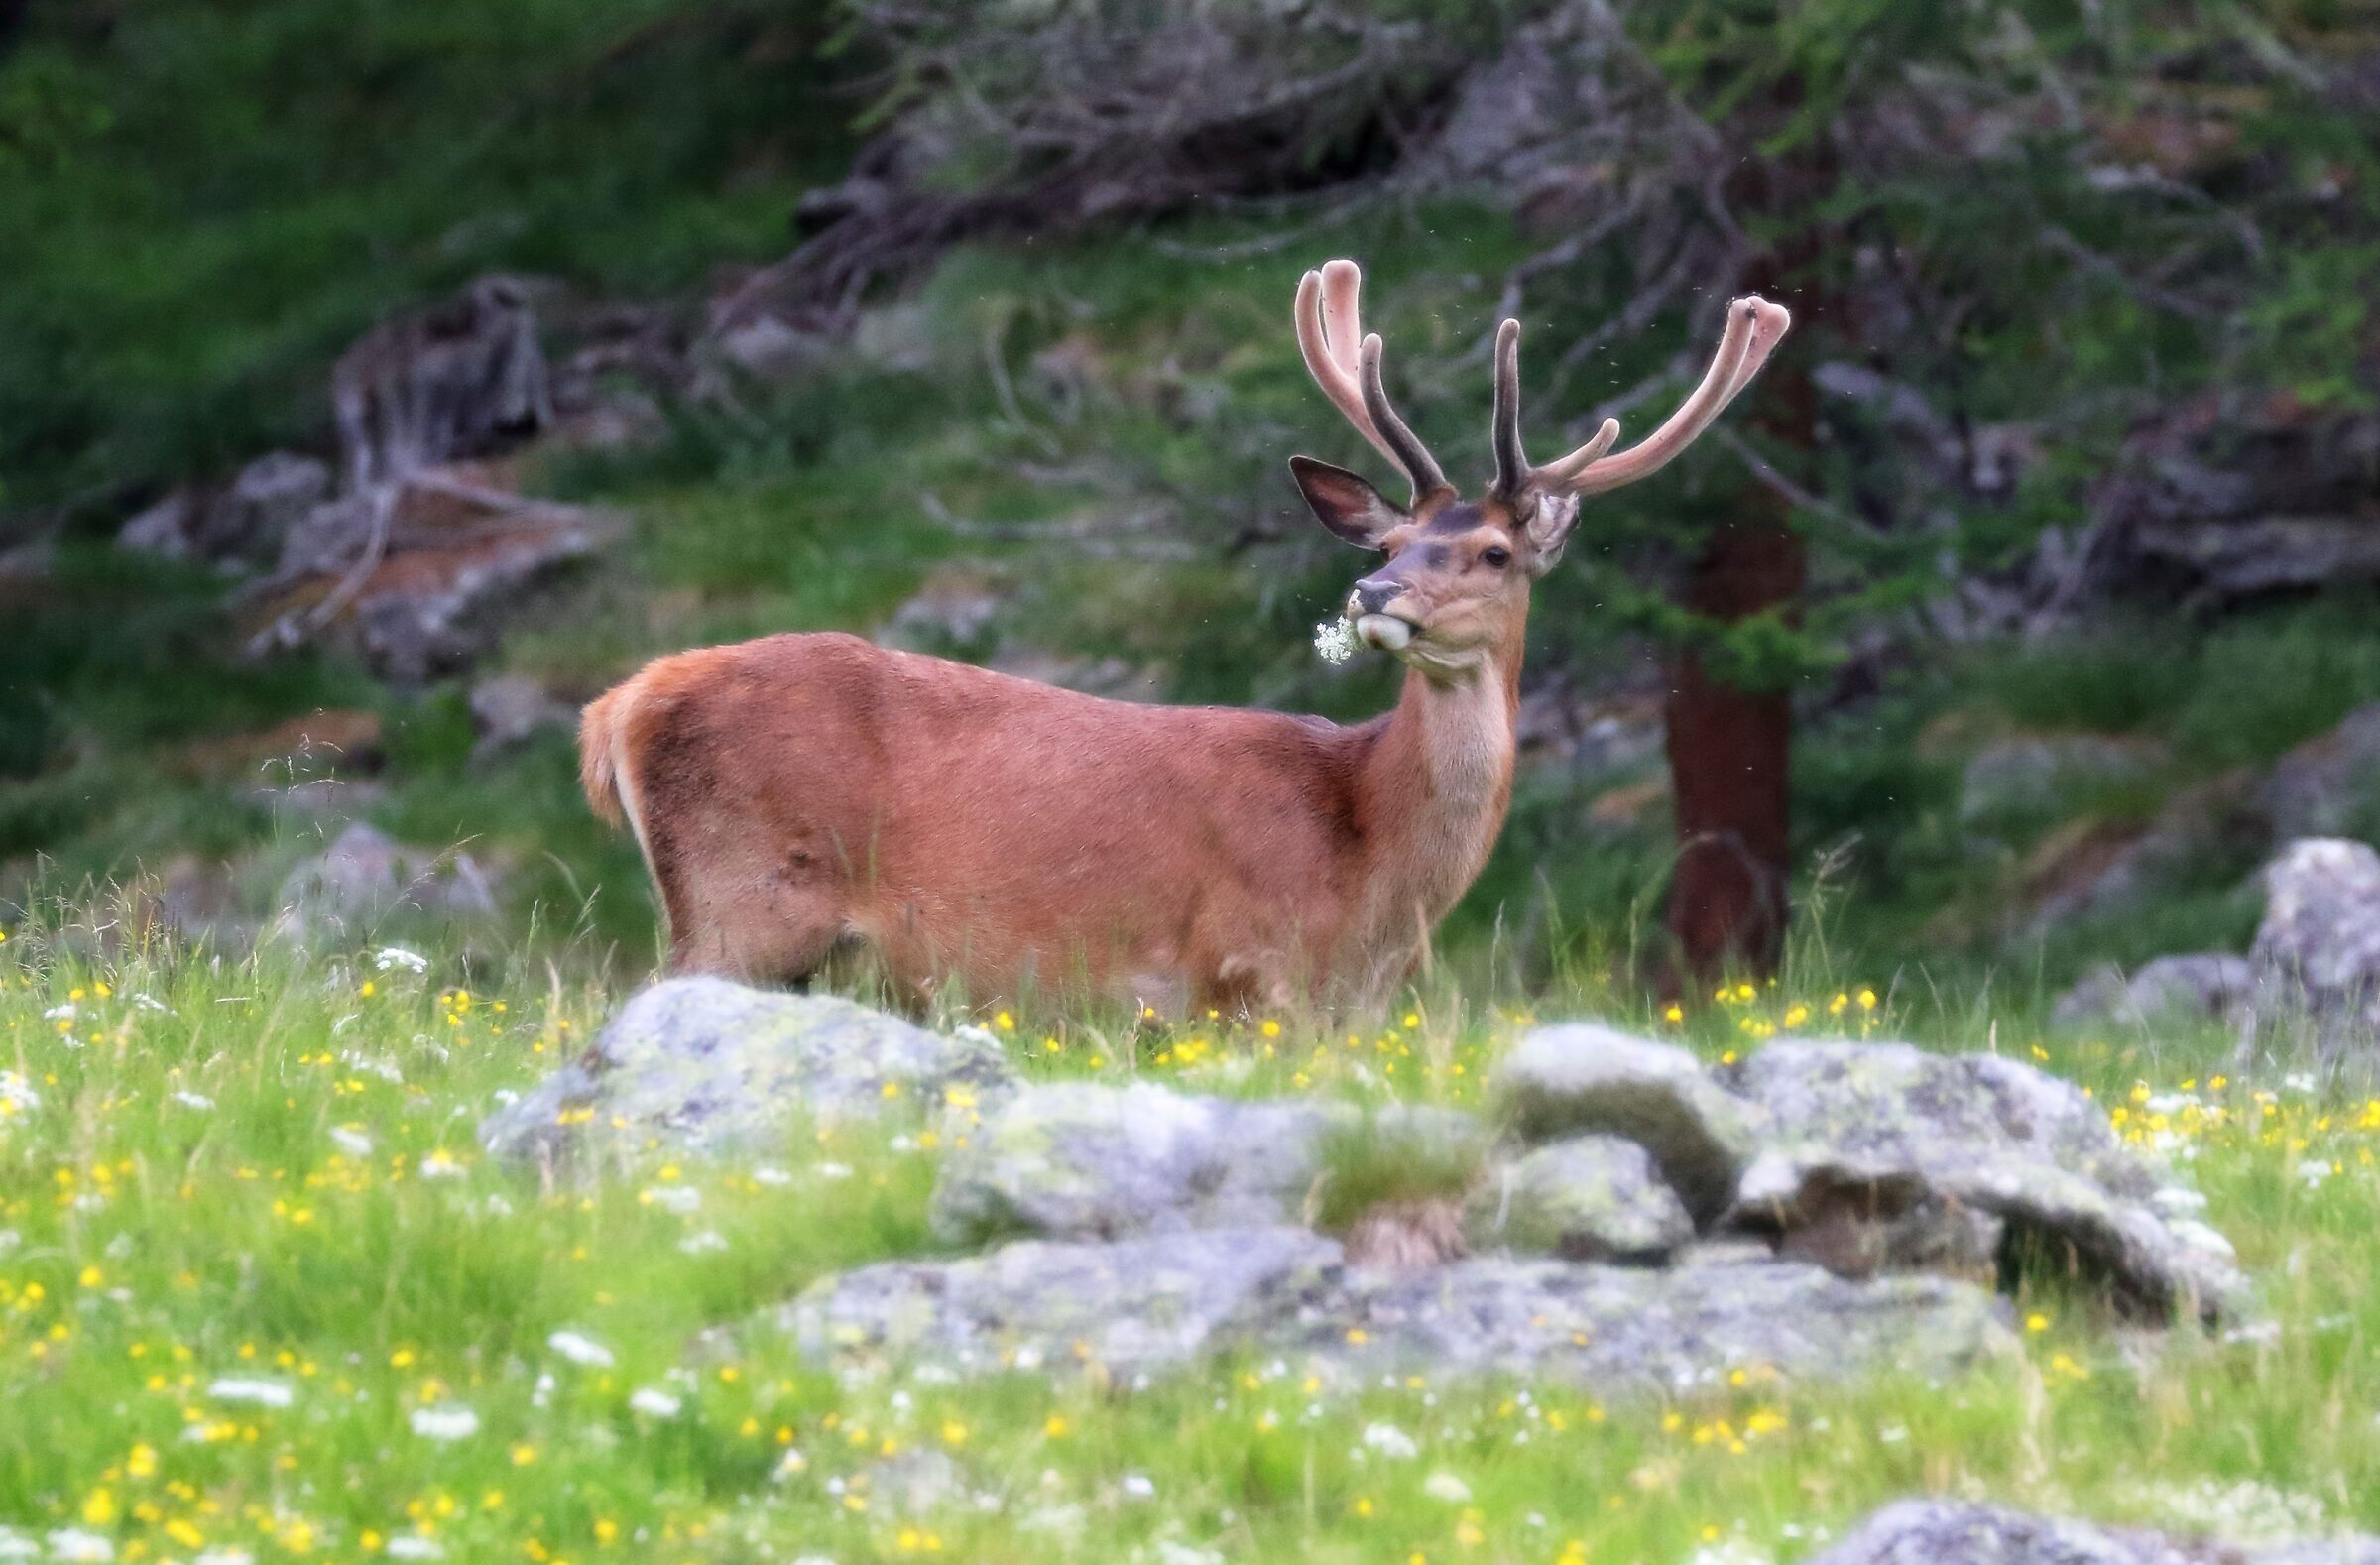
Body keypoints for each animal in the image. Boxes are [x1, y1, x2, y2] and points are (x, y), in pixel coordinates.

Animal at [579, 260, 1788, 1014]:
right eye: (1398, 535)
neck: (1371, 867)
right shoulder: (1244, 973)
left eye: (1492, 552)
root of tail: (619, 706)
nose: (1374, 590)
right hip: (741, 904)